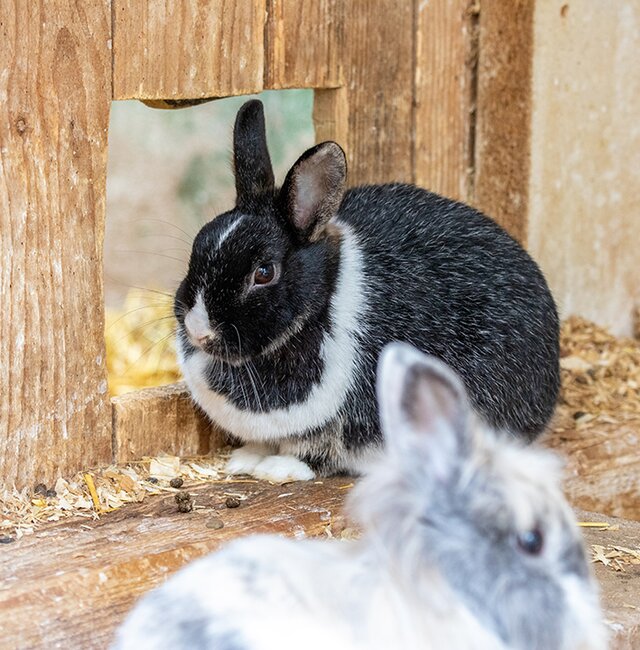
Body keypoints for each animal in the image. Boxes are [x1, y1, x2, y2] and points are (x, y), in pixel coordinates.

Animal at [175, 97, 560, 480]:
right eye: (199, 241)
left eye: (264, 272)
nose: (198, 329)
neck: (321, 300)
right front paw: (245, 458)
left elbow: (317, 450)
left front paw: (278, 468)